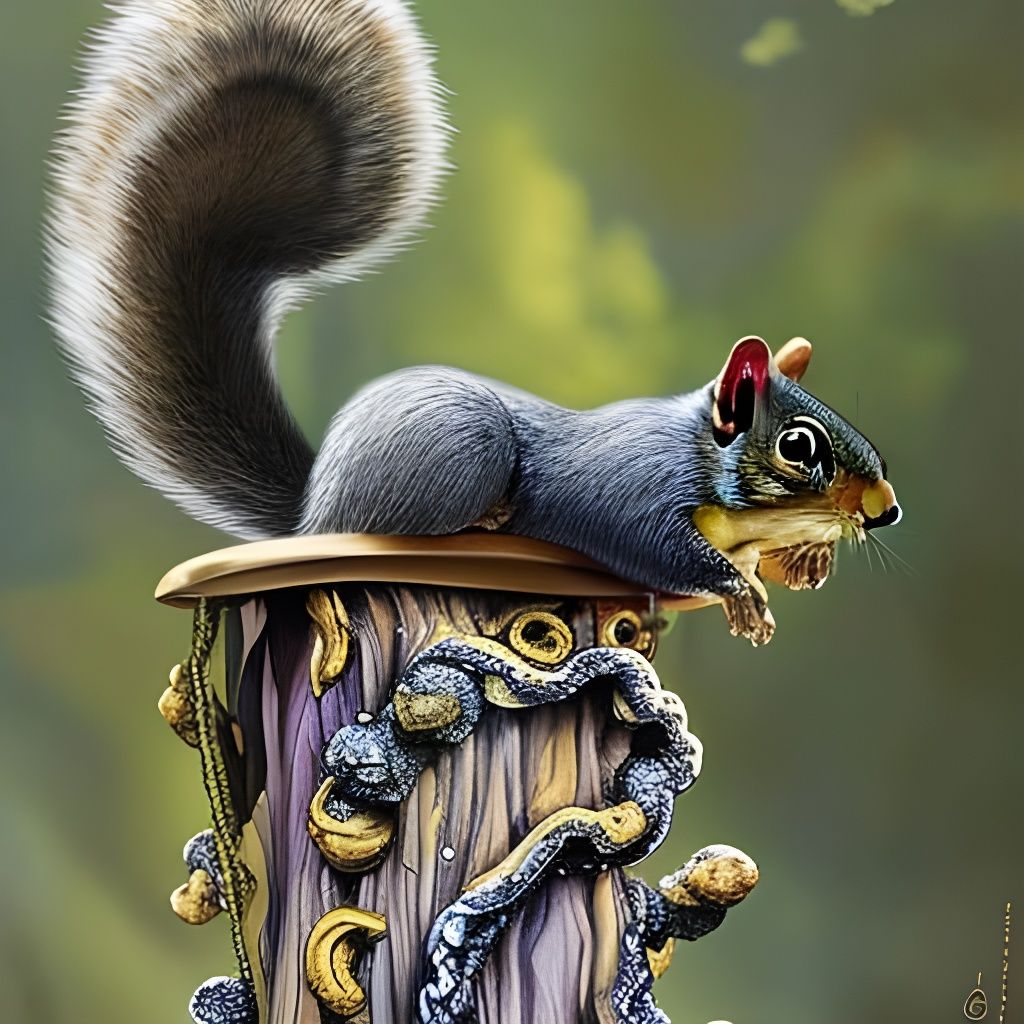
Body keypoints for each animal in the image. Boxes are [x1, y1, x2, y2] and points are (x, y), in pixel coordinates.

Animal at [47, 0, 900, 646]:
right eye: (798, 448)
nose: (886, 510)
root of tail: (316, 509)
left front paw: (802, 565)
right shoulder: (625, 487)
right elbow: (652, 545)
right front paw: (741, 591)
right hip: (461, 449)